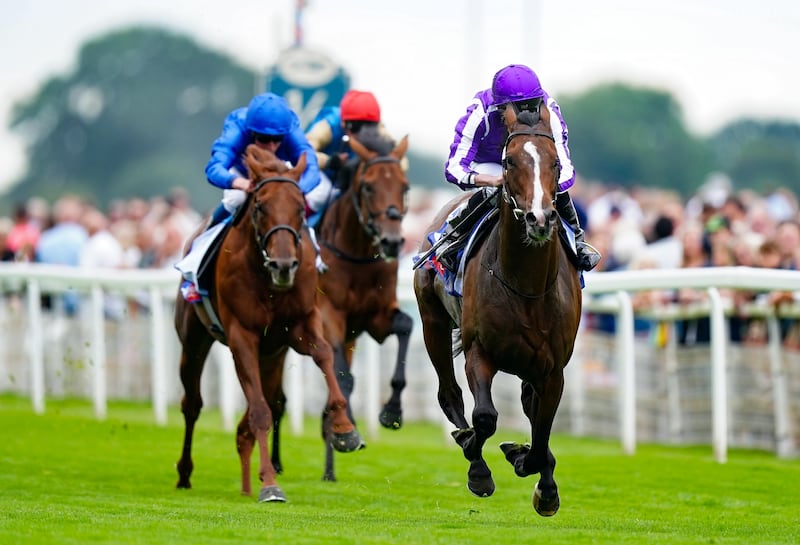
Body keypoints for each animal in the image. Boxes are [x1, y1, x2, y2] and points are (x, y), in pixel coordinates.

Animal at [177, 143, 364, 502]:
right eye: (260, 206)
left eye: (300, 208)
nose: (284, 265)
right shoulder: (242, 336)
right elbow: (260, 413)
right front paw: (270, 484)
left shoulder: (301, 325)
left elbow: (324, 355)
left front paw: (345, 429)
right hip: (194, 339)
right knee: (193, 404)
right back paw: (185, 473)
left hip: (272, 355)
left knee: (252, 417)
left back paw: (245, 483)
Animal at [272, 129, 416, 480]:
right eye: (368, 186)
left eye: (404, 186)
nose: (392, 242)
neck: (358, 257)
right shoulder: (328, 317)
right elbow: (344, 378)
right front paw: (349, 430)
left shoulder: (377, 318)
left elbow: (406, 326)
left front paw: (392, 412)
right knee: (277, 400)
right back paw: (278, 462)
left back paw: (329, 470)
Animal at [412, 103, 580, 516]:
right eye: (508, 162)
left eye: (555, 163)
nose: (540, 218)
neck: (527, 288)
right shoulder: (480, 352)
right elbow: (485, 418)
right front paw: (479, 466)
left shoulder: (553, 369)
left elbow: (541, 433)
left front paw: (541, 482)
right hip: (432, 322)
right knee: (449, 395)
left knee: (529, 408)